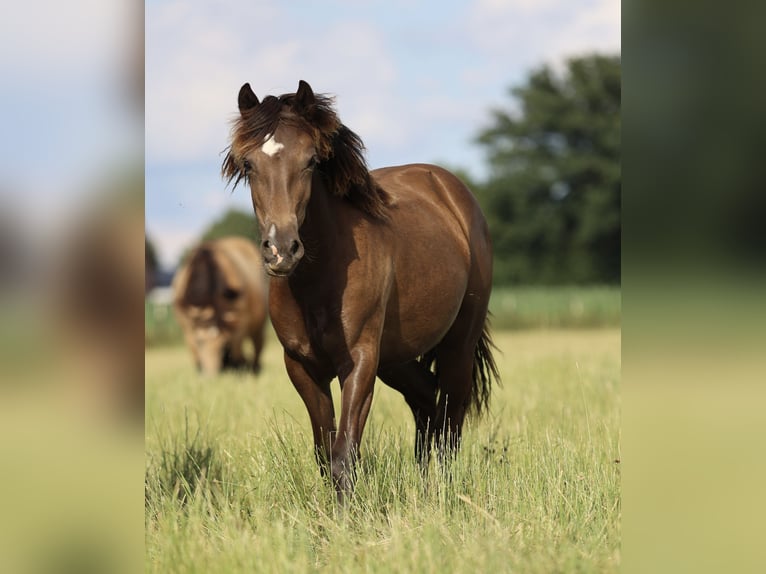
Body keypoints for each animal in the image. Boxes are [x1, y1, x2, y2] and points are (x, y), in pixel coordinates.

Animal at [224, 81, 498, 504]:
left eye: (310, 161)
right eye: (249, 165)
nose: (282, 249)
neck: (319, 281)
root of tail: (453, 193)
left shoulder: (359, 361)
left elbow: (344, 455)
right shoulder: (302, 367)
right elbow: (324, 453)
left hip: (458, 345)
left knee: (450, 423)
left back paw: (441, 494)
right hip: (396, 356)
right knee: (426, 401)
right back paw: (423, 488)